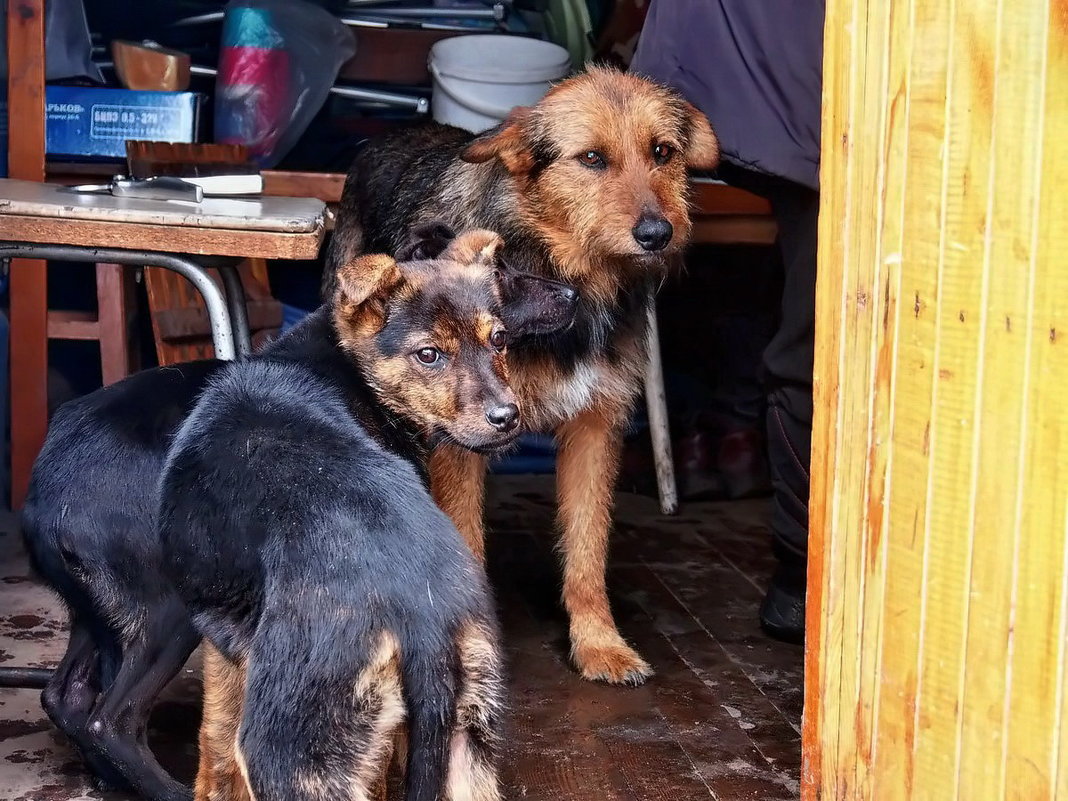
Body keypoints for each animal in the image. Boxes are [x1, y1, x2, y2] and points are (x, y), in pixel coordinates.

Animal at [18, 226, 576, 801]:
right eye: (429, 355)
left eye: (499, 340)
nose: (508, 418)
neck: (341, 365)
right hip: (167, 616)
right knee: (110, 718)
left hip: (102, 612)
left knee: (66, 695)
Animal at [326, 65, 717, 687]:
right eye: (591, 159)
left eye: (663, 152)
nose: (658, 233)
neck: (567, 269)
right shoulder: (459, 441)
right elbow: (463, 541)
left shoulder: (597, 428)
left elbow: (587, 552)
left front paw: (599, 644)